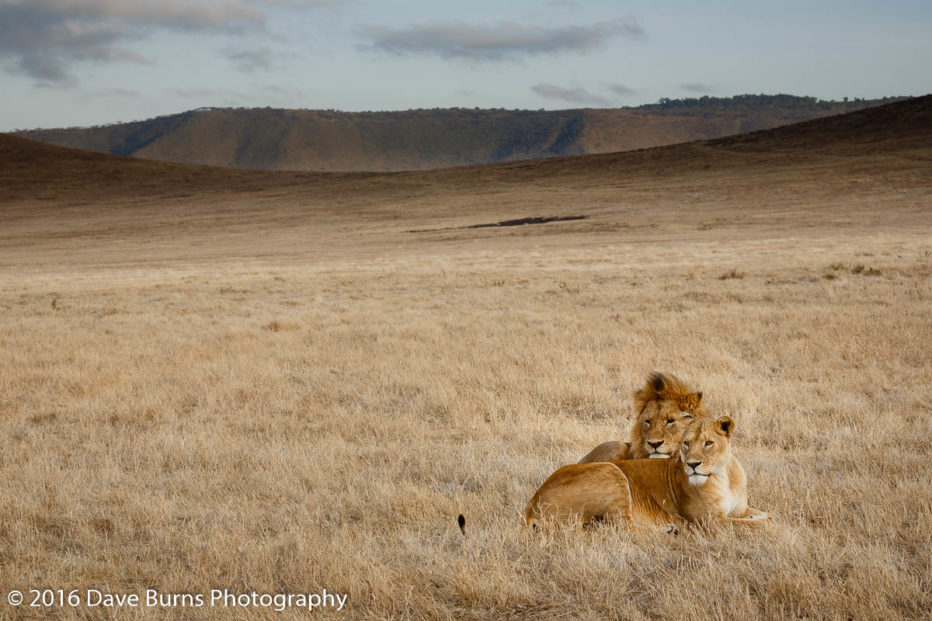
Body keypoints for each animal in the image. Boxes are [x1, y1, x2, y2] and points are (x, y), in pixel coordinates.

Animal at [528, 414, 768, 532]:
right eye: (686, 443)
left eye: (708, 443)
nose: (692, 464)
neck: (724, 475)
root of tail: (532, 501)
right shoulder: (707, 521)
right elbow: (759, 525)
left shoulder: (739, 509)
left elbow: (764, 515)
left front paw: (758, 515)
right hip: (612, 471)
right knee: (622, 529)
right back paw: (671, 530)